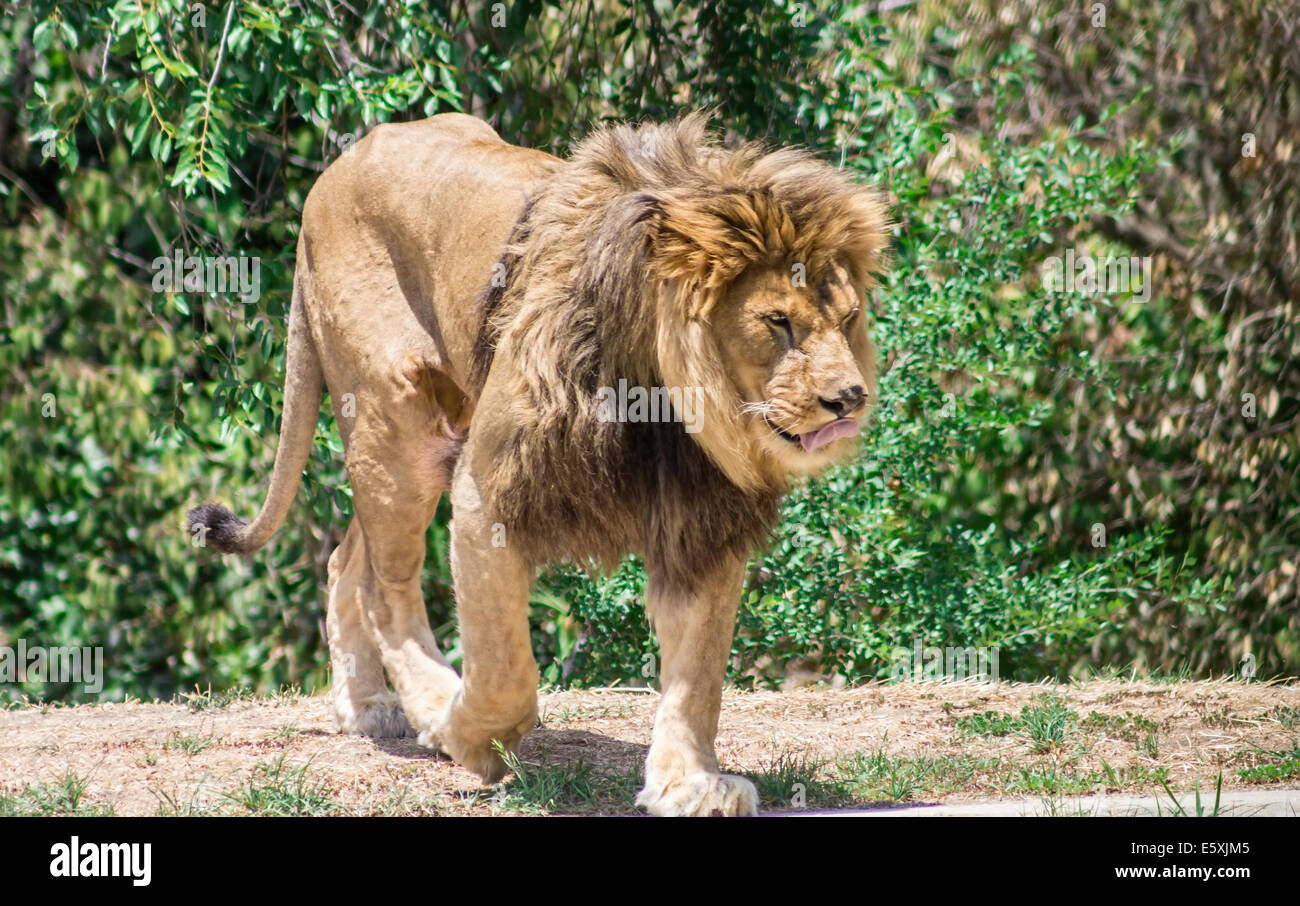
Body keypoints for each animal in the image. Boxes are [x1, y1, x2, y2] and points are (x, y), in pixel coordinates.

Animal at [189, 112, 888, 816]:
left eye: (850, 317)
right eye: (777, 321)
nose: (850, 399)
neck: (662, 400)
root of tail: (337, 167)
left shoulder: (702, 523)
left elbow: (698, 675)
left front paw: (688, 784)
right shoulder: (487, 488)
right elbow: (505, 663)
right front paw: (471, 736)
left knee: (345, 559)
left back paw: (367, 707)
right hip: (397, 421)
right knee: (387, 586)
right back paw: (429, 706)